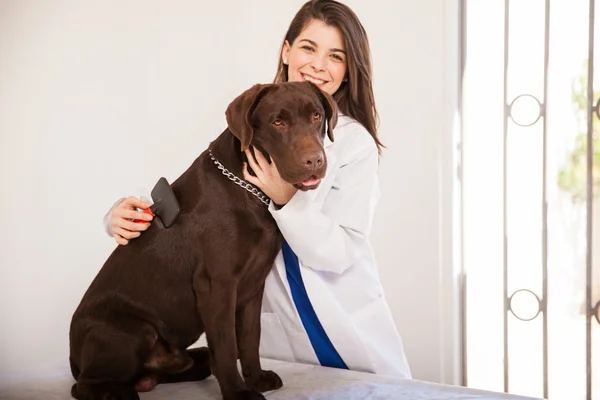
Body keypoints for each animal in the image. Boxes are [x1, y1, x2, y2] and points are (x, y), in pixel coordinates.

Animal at [69, 81, 338, 400]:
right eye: (278, 122)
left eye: (316, 116)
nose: (314, 160)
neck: (250, 188)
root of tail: (73, 357)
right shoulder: (217, 285)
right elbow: (226, 345)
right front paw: (237, 392)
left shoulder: (252, 287)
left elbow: (250, 338)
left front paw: (257, 379)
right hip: (133, 330)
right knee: (82, 384)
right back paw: (117, 392)